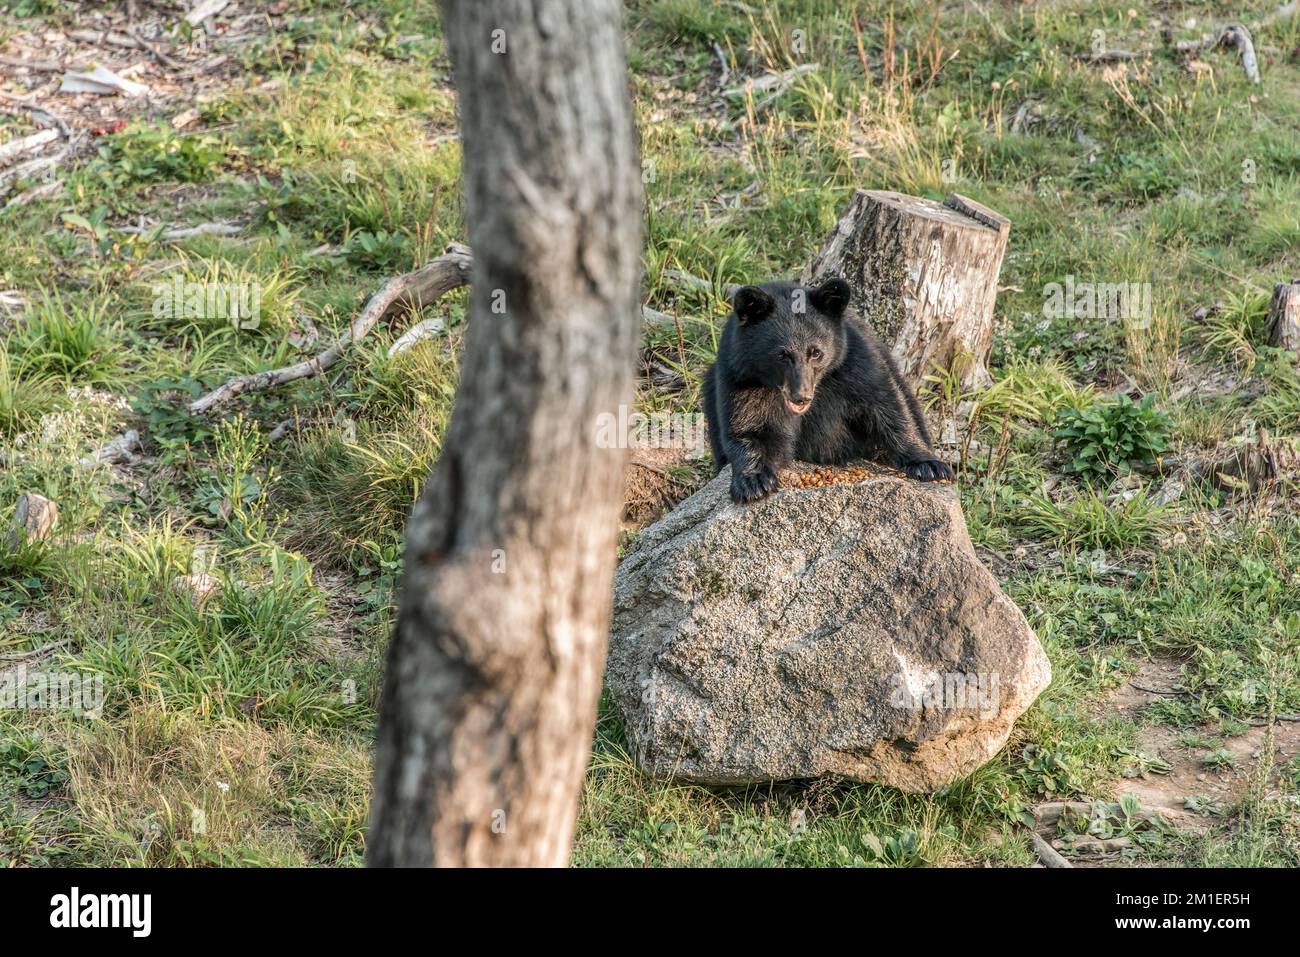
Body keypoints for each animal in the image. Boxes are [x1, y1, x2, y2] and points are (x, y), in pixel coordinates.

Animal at [701, 277, 954, 504]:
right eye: (781, 355)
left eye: (816, 353)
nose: (801, 397)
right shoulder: (741, 377)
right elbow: (750, 426)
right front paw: (753, 481)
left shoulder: (853, 360)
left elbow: (886, 403)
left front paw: (929, 465)